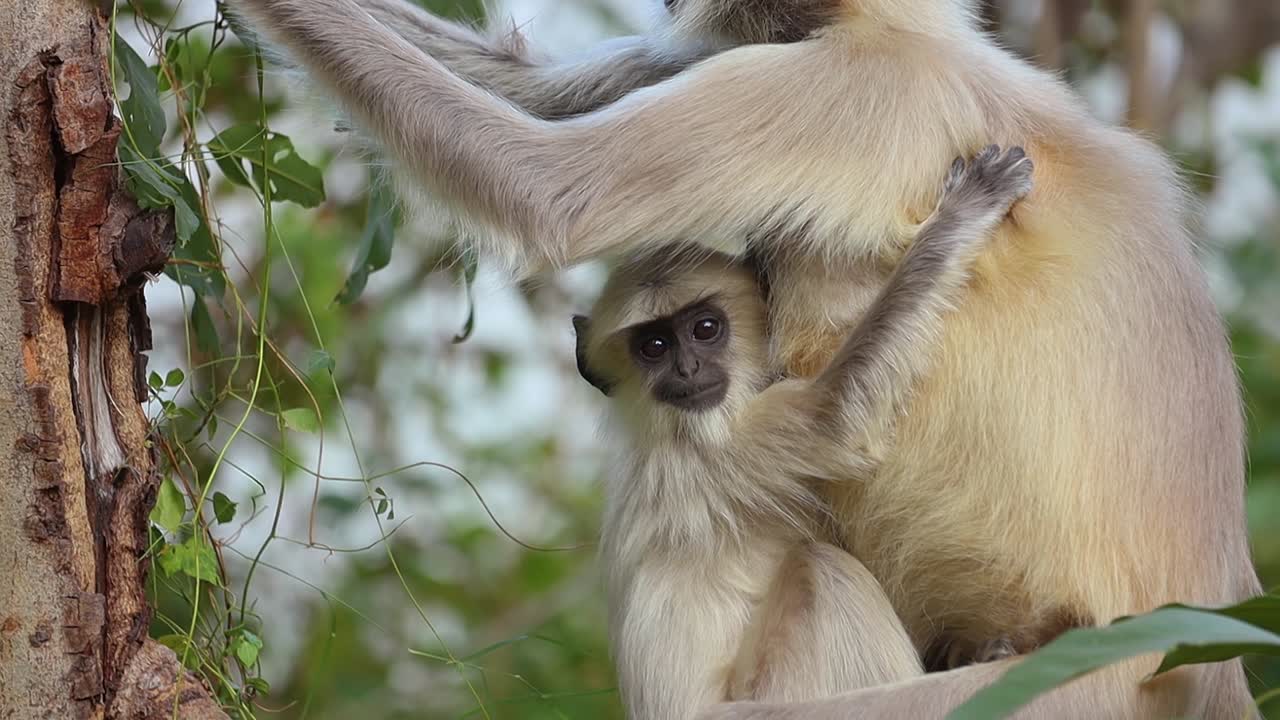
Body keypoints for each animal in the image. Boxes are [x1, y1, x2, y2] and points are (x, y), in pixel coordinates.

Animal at [576, 145, 1033, 720]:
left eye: (705, 329)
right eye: (653, 347)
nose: (686, 370)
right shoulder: (731, 447)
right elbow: (835, 418)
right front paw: (964, 213)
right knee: (824, 571)